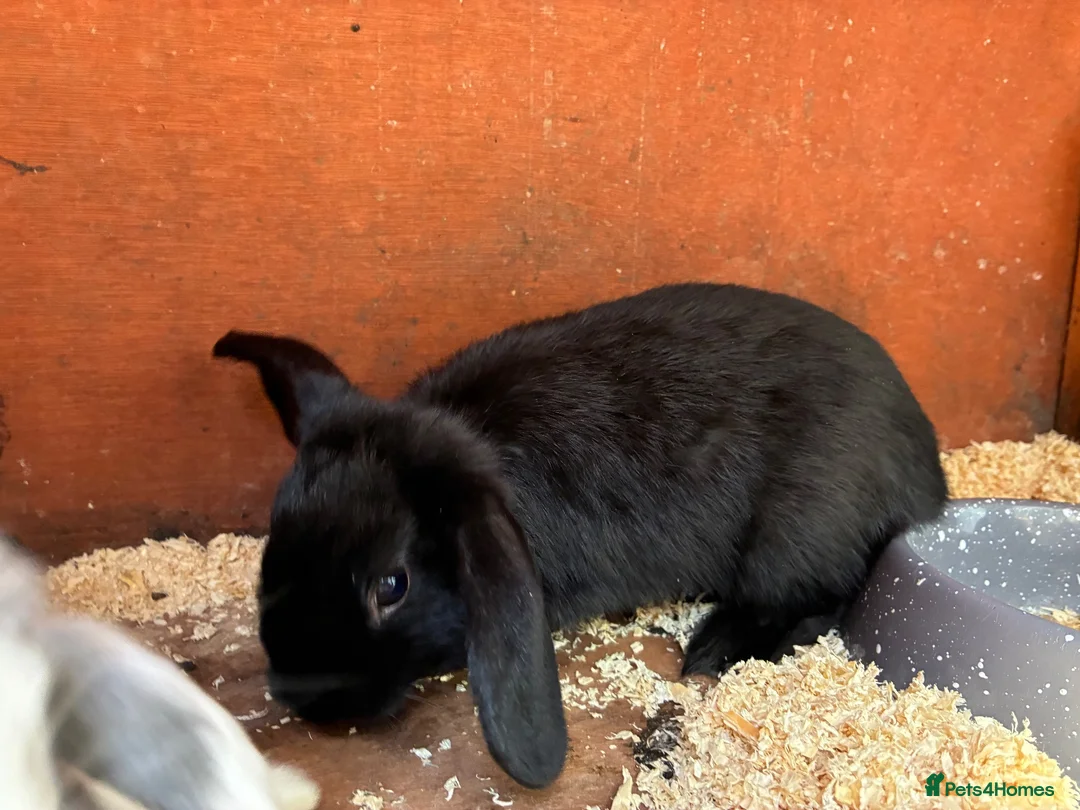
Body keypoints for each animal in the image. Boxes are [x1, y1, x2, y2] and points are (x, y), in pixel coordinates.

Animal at [212, 281, 949, 789]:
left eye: (391, 585)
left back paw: (717, 647)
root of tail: (929, 475)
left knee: (824, 600)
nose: (304, 698)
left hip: (797, 538)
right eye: (275, 541)